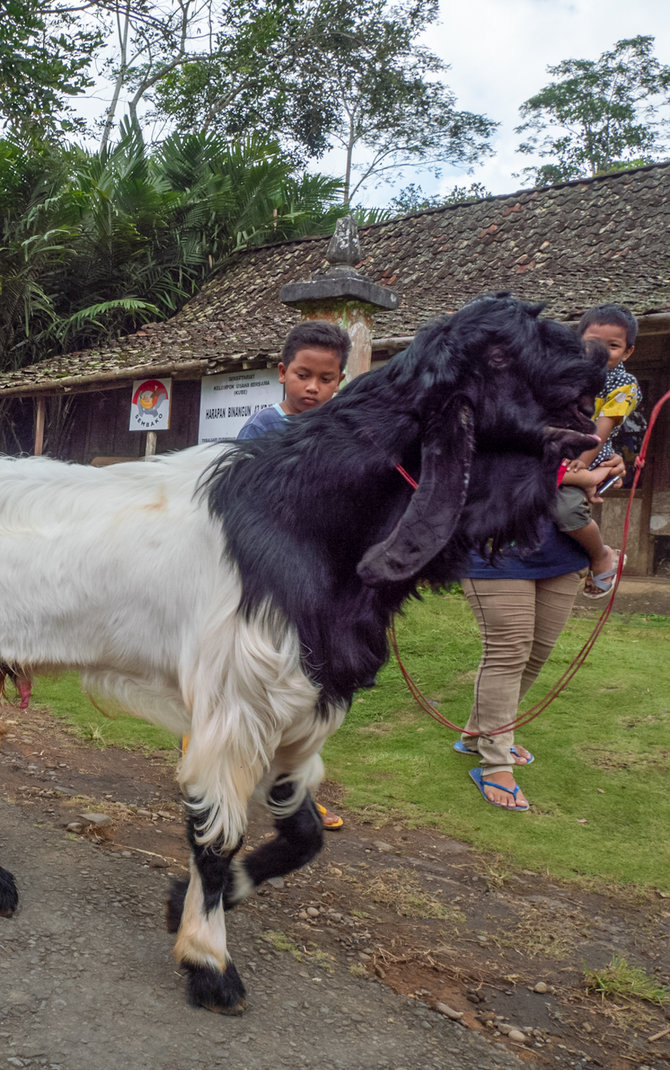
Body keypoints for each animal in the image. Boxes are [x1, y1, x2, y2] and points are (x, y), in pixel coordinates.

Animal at [0, 293, 603, 1010]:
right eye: (501, 355)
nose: (598, 361)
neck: (299, 517)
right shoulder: (235, 705)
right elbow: (217, 834)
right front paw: (208, 961)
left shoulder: (301, 705)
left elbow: (304, 833)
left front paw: (189, 902)